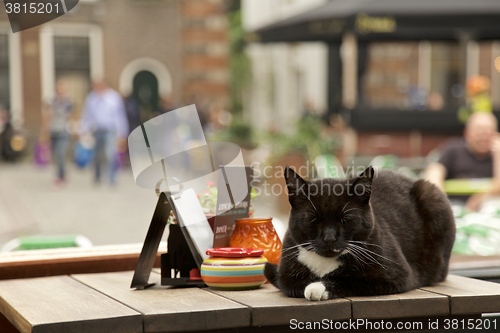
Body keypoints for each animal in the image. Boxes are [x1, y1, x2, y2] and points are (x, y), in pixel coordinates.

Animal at [266, 166, 458, 300]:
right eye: (314, 219)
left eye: (345, 219)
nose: (329, 238)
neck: (325, 263)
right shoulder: (286, 275)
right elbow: (292, 283)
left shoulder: (396, 275)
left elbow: (350, 279)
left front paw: (318, 288)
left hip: (432, 196)